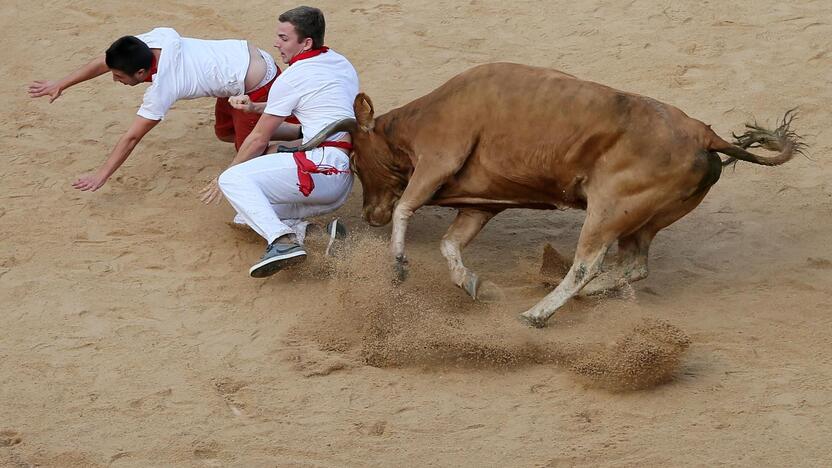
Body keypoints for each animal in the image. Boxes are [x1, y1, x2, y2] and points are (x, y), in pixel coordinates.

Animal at [284, 62, 800, 328]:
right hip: (643, 220)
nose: (370, 214)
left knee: (588, 264)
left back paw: (538, 312)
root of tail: (704, 135)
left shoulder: (437, 161)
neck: (417, 121)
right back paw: (582, 293)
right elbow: (451, 242)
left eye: (355, 159)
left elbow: (407, 208)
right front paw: (467, 281)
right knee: (633, 265)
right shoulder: (480, 204)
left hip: (609, 209)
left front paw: (397, 264)